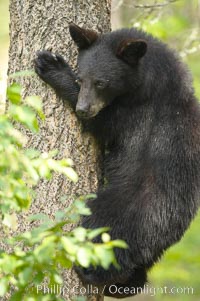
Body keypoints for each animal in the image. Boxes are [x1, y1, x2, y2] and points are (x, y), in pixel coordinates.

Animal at [34, 24, 200, 298]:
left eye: (101, 82)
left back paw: (90, 271)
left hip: (117, 214)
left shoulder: (134, 113)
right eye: (82, 79)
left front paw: (50, 65)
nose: (82, 109)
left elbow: (102, 123)